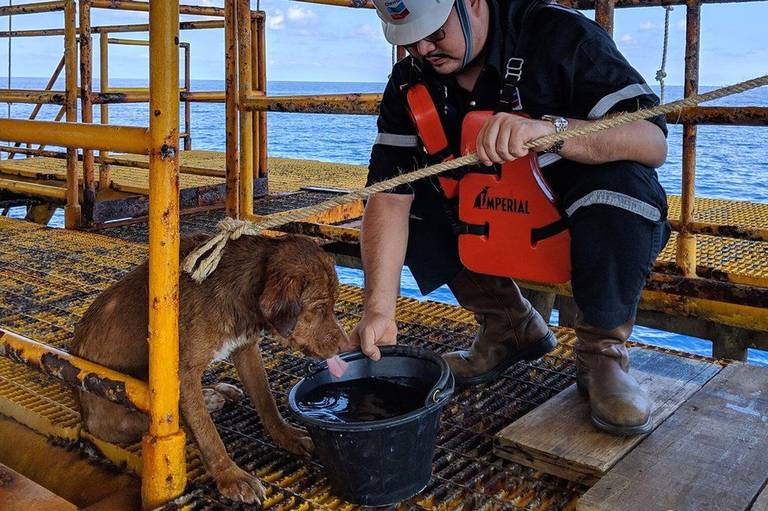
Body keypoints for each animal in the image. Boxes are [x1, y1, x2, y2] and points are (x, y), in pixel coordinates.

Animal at [72, 234, 348, 506]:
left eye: (333, 304)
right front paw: (231, 477)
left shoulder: (246, 349)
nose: (345, 345)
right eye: (319, 308)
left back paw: (214, 393)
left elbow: (266, 400)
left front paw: (287, 435)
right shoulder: (184, 373)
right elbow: (207, 432)